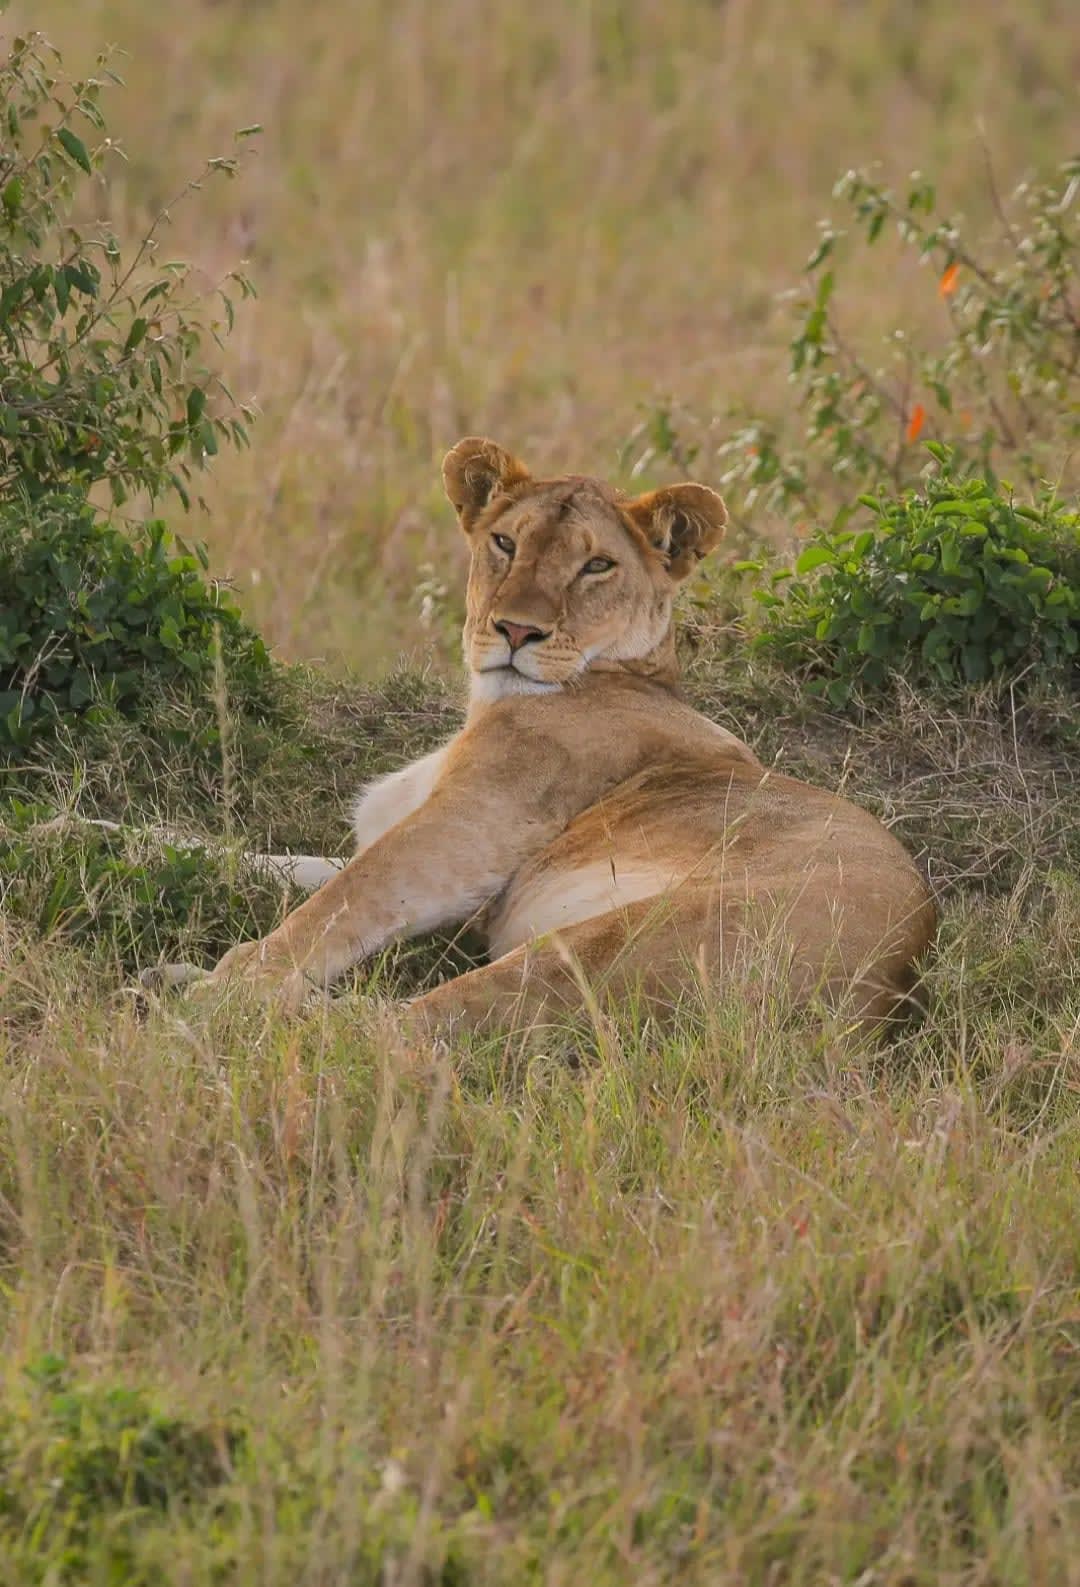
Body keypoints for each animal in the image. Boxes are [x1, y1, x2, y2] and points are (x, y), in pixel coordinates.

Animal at [188, 436, 936, 1036]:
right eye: (506, 543)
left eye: (596, 566)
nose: (517, 630)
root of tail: (889, 1001)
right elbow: (267, 861)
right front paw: (160, 843)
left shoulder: (471, 828)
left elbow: (342, 902)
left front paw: (243, 972)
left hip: (602, 946)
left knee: (409, 1027)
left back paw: (203, 997)